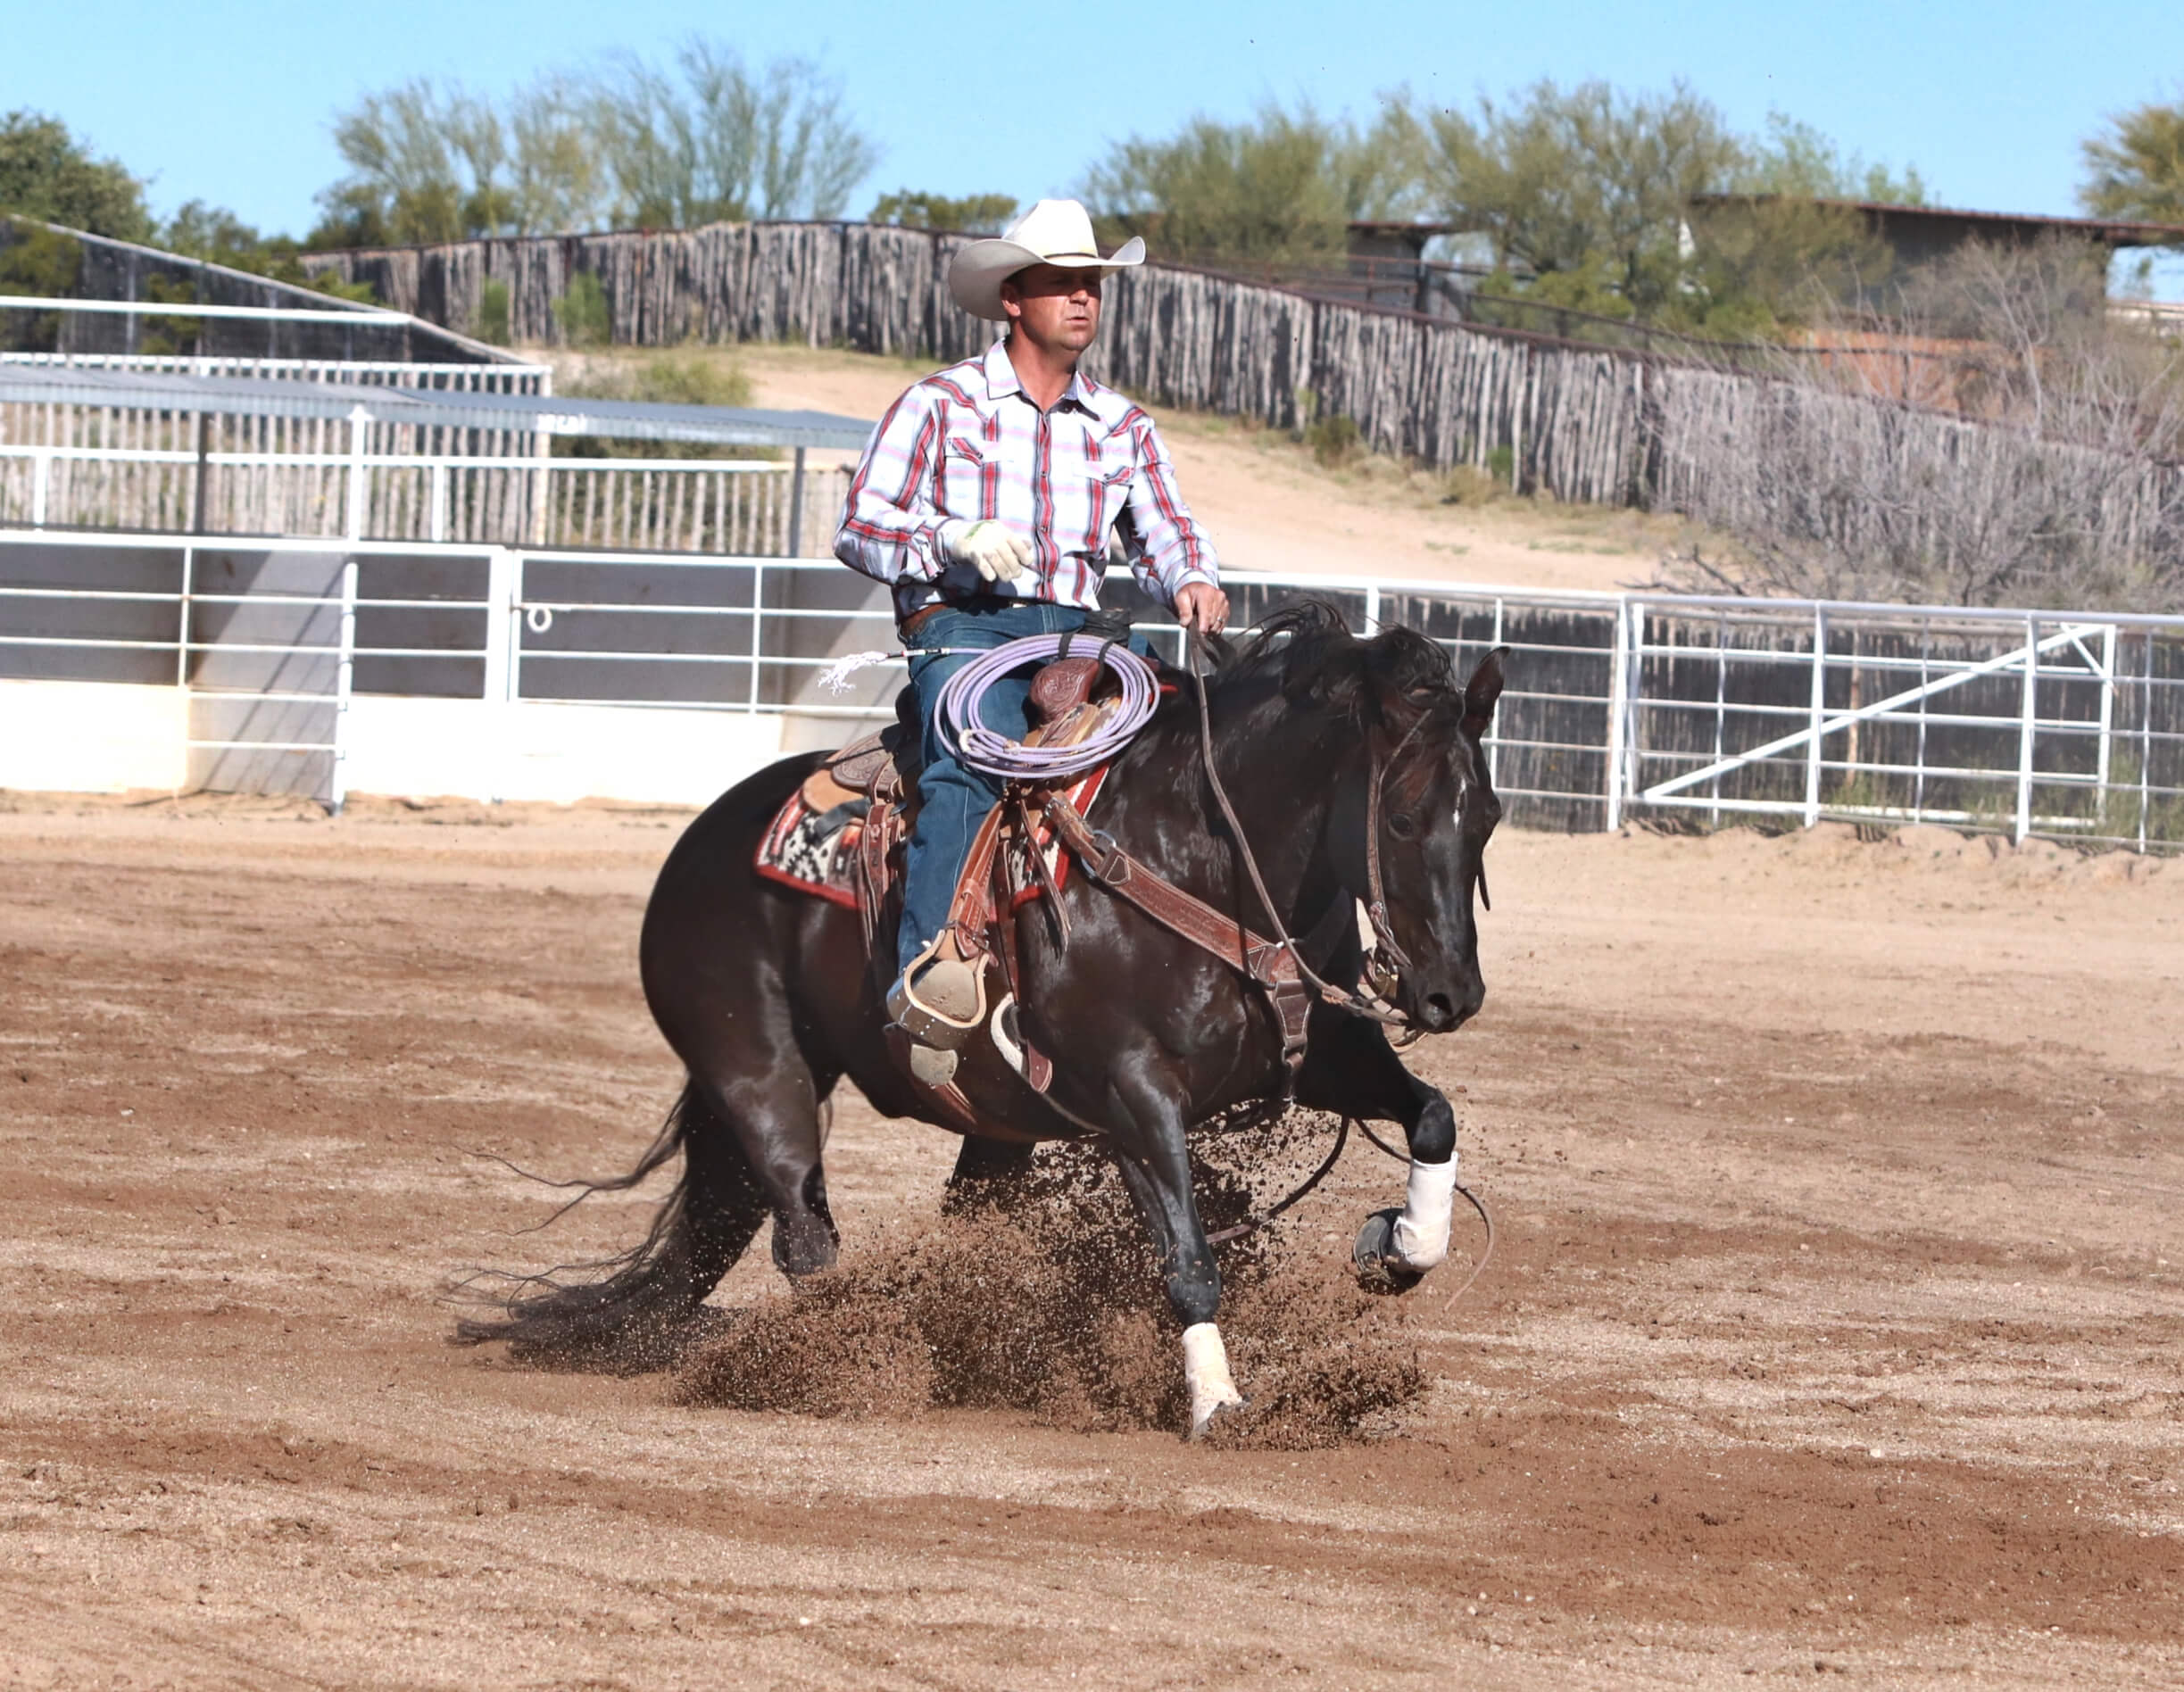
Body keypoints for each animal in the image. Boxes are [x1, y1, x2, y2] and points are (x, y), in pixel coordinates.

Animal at [465, 602, 1502, 1431]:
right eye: (1400, 821)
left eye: (1487, 816)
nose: (1450, 994)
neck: (1204, 854)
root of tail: (705, 835)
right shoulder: (1131, 1097)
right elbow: (1188, 1255)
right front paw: (1217, 1401)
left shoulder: (1323, 1053)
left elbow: (1433, 1116)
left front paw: (1394, 1245)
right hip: (754, 1069)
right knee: (803, 1228)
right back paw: (848, 1358)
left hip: (986, 1123)